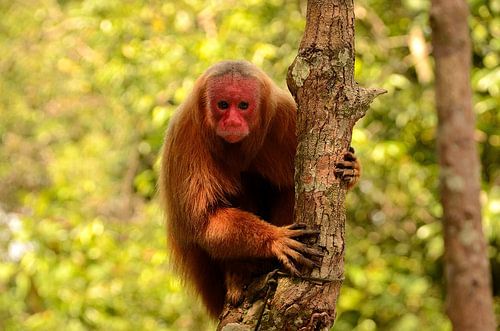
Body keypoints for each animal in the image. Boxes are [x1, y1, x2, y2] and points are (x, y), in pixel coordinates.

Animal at [160, 60, 360, 320]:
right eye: (223, 105)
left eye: (243, 106)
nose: (232, 122)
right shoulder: (185, 135)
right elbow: (203, 221)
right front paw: (274, 239)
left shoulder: (286, 117)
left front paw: (353, 169)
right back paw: (238, 274)